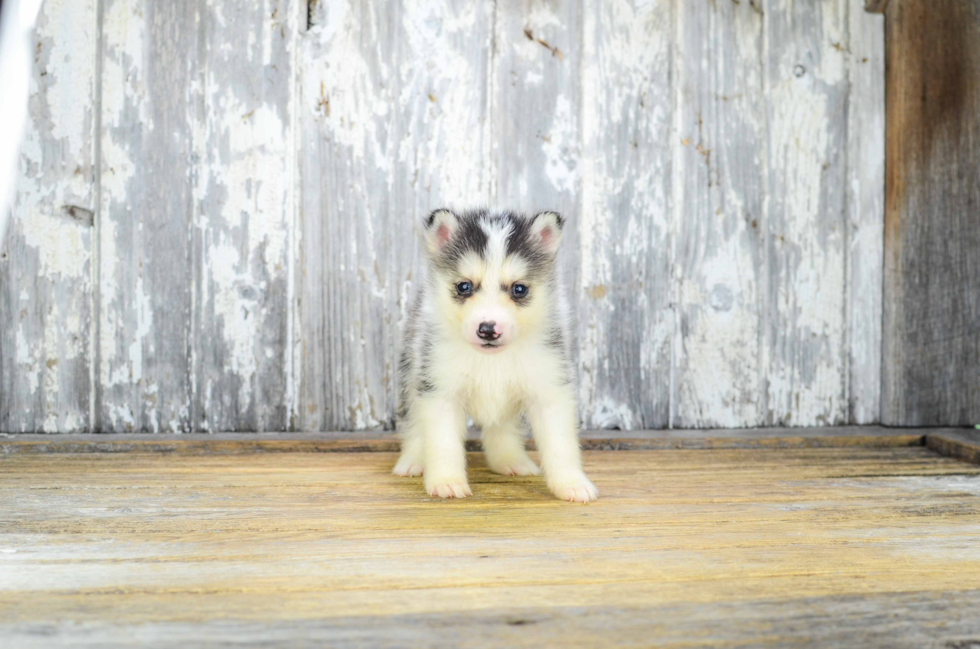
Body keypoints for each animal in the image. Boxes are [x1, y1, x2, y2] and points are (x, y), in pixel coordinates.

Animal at [392, 208, 596, 502]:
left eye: (519, 289)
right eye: (464, 286)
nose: (488, 329)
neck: (491, 360)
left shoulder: (550, 388)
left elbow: (560, 444)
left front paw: (572, 483)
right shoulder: (440, 390)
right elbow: (443, 442)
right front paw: (446, 481)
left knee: (502, 428)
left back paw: (511, 460)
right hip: (412, 371)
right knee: (414, 424)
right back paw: (412, 460)